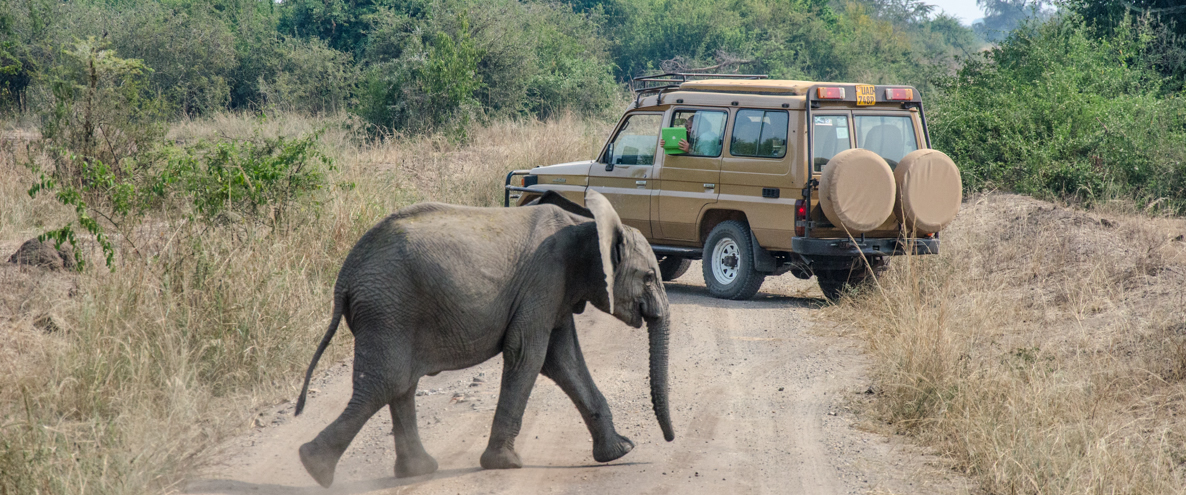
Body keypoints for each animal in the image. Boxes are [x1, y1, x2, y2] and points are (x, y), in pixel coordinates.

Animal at [291, 188, 673, 486]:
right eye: (650, 277)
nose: (669, 439)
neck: (585, 224)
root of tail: (346, 275)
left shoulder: (558, 292)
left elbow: (563, 360)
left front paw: (620, 451)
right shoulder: (545, 279)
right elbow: (528, 353)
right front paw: (505, 465)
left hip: (390, 311)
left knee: (400, 385)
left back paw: (415, 471)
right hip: (388, 309)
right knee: (386, 383)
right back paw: (314, 467)